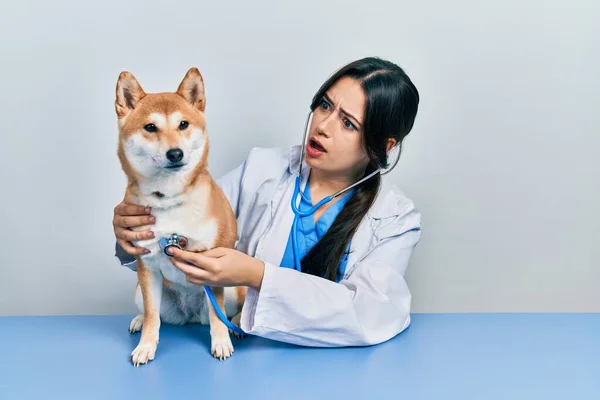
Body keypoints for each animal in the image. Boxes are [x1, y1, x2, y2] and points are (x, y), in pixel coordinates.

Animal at [113, 68, 245, 366]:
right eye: (151, 127)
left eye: (183, 124)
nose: (175, 153)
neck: (169, 199)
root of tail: (191, 315)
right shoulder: (147, 265)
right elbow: (153, 317)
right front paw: (146, 346)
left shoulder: (214, 264)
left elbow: (218, 315)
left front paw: (221, 342)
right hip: (141, 291)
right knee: (153, 312)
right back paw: (139, 320)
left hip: (233, 288)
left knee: (230, 311)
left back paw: (238, 324)